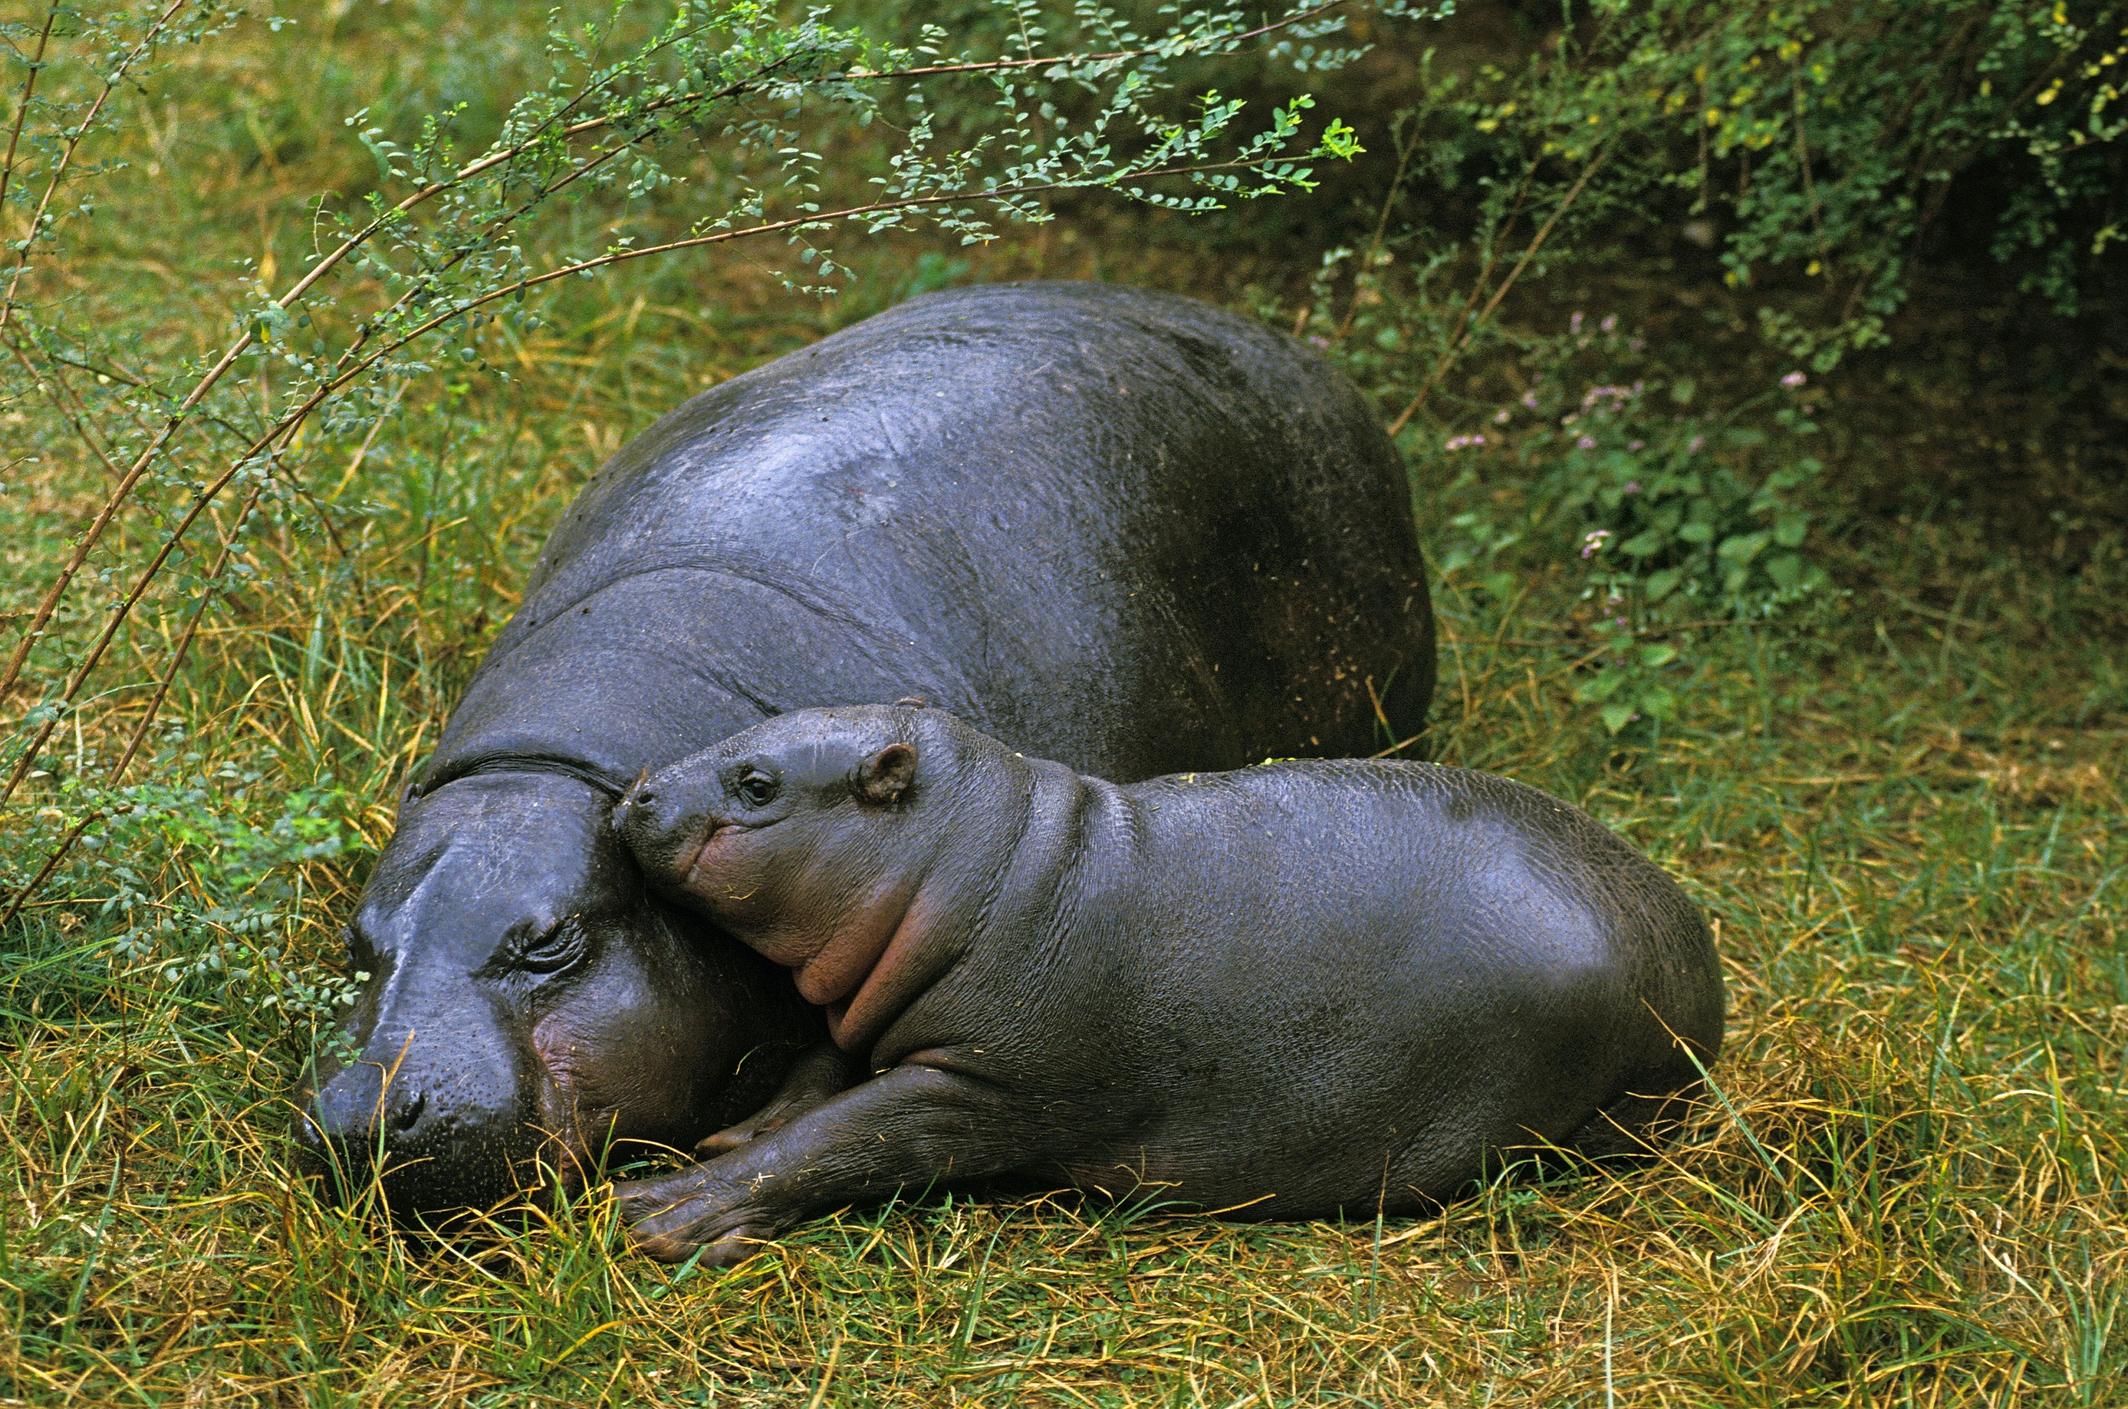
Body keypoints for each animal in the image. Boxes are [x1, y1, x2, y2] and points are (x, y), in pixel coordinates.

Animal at [608, 706, 1719, 1268]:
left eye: (758, 783)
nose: (637, 789)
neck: (980, 859)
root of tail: (1698, 968)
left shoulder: (983, 1087)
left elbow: (850, 1134)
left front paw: (658, 1211)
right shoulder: (872, 1003)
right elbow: (814, 1079)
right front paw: (728, 1137)